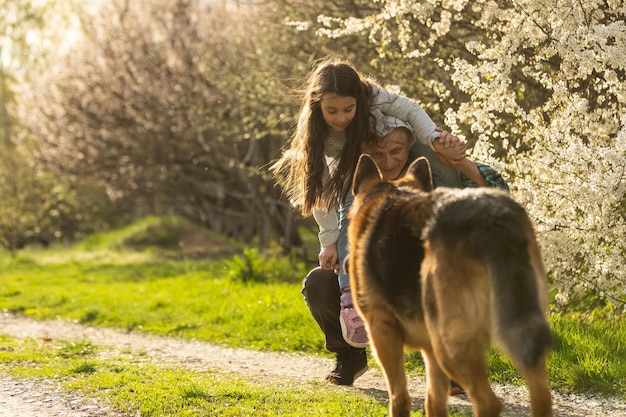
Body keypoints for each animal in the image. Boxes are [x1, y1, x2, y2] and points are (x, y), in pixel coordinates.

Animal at [346, 156, 552, 416]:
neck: (393, 194)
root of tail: (491, 218)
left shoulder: (382, 331)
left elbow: (399, 397)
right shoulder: (429, 348)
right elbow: (434, 401)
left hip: (450, 343)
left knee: (488, 402)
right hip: (514, 328)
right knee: (541, 393)